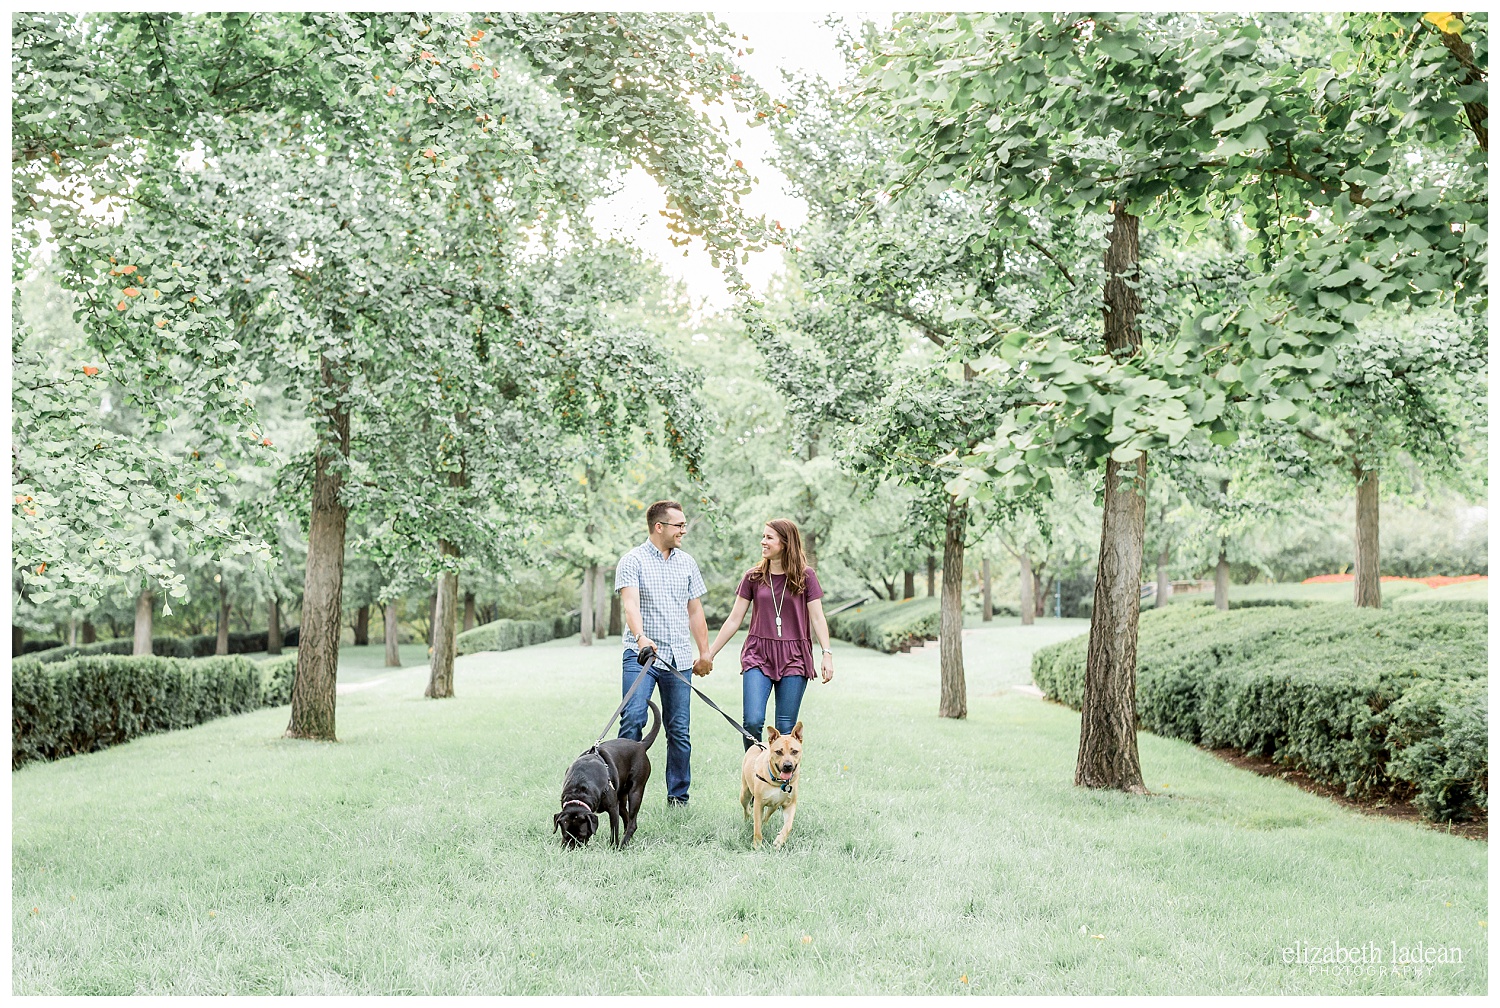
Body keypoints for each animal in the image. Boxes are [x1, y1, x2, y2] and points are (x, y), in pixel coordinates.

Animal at [555, 696, 660, 846]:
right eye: (565, 835)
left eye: (582, 836)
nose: (572, 848)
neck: (580, 787)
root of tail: (640, 745)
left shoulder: (612, 808)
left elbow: (613, 832)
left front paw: (613, 847)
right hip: (621, 796)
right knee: (627, 818)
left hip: (635, 791)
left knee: (632, 822)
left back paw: (623, 844)